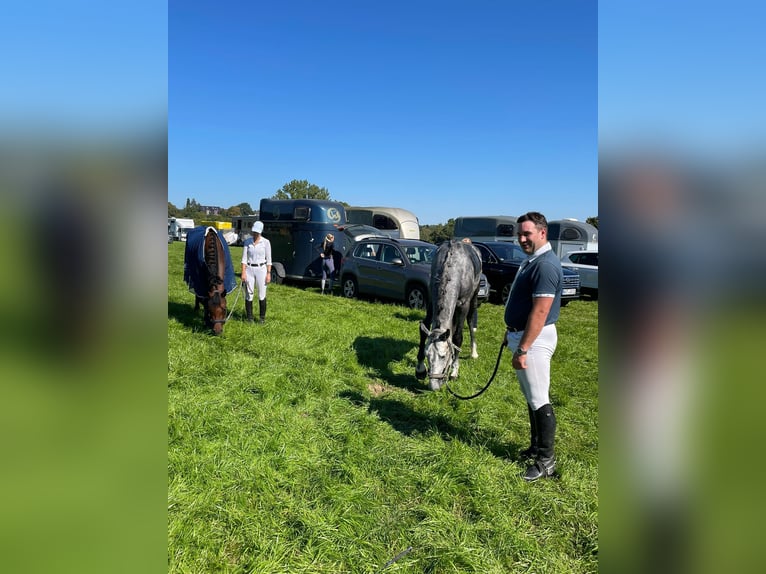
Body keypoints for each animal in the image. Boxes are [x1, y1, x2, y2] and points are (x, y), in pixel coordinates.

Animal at [416, 238, 484, 392]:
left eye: (443, 356)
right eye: (427, 355)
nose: (434, 386)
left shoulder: (463, 305)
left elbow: (458, 337)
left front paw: (454, 371)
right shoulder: (432, 300)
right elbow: (424, 330)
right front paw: (420, 369)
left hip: (474, 297)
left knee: (471, 321)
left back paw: (474, 352)